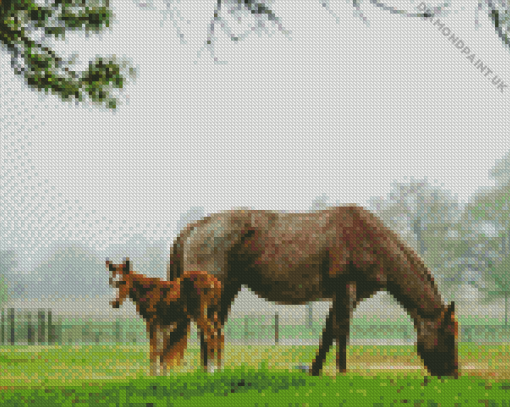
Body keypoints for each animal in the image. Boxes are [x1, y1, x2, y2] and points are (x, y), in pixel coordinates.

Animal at [169, 206, 460, 378]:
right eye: (449, 335)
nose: (453, 375)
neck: (370, 238)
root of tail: (194, 227)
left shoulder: (344, 295)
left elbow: (328, 332)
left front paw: (315, 370)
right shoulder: (346, 289)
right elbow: (342, 331)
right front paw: (342, 372)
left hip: (226, 289)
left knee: (211, 327)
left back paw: (210, 368)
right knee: (207, 328)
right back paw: (210, 369)